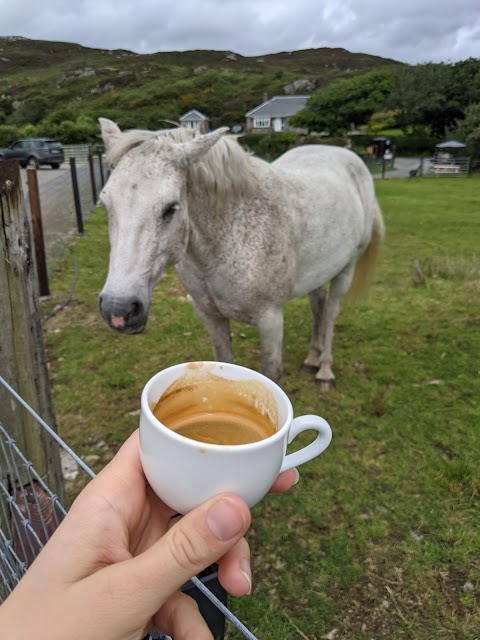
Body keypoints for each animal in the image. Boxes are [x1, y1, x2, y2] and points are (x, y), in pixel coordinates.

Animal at [97, 117, 382, 388]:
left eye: (171, 208)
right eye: (105, 203)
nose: (118, 308)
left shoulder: (270, 319)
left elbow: (271, 374)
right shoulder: (209, 315)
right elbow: (224, 362)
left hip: (346, 268)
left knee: (331, 313)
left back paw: (324, 371)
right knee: (318, 306)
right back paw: (312, 358)